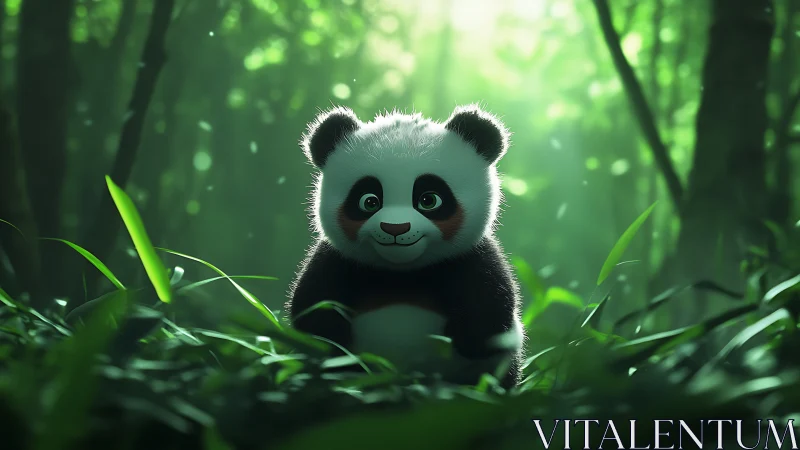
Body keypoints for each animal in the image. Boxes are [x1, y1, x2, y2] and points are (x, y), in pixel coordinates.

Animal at [285, 104, 525, 389]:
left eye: (429, 199)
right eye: (369, 201)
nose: (395, 228)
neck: (402, 273)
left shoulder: (471, 257)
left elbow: (490, 319)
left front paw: (462, 337)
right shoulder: (338, 259)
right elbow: (312, 310)